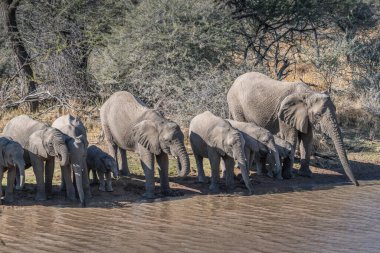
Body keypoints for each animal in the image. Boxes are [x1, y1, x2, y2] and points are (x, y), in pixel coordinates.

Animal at [227, 71, 358, 186]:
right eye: (318, 115)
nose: (357, 184)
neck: (308, 94)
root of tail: (234, 82)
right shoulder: (284, 115)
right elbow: (292, 138)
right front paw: (288, 176)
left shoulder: (304, 117)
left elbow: (307, 140)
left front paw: (306, 175)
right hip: (236, 105)